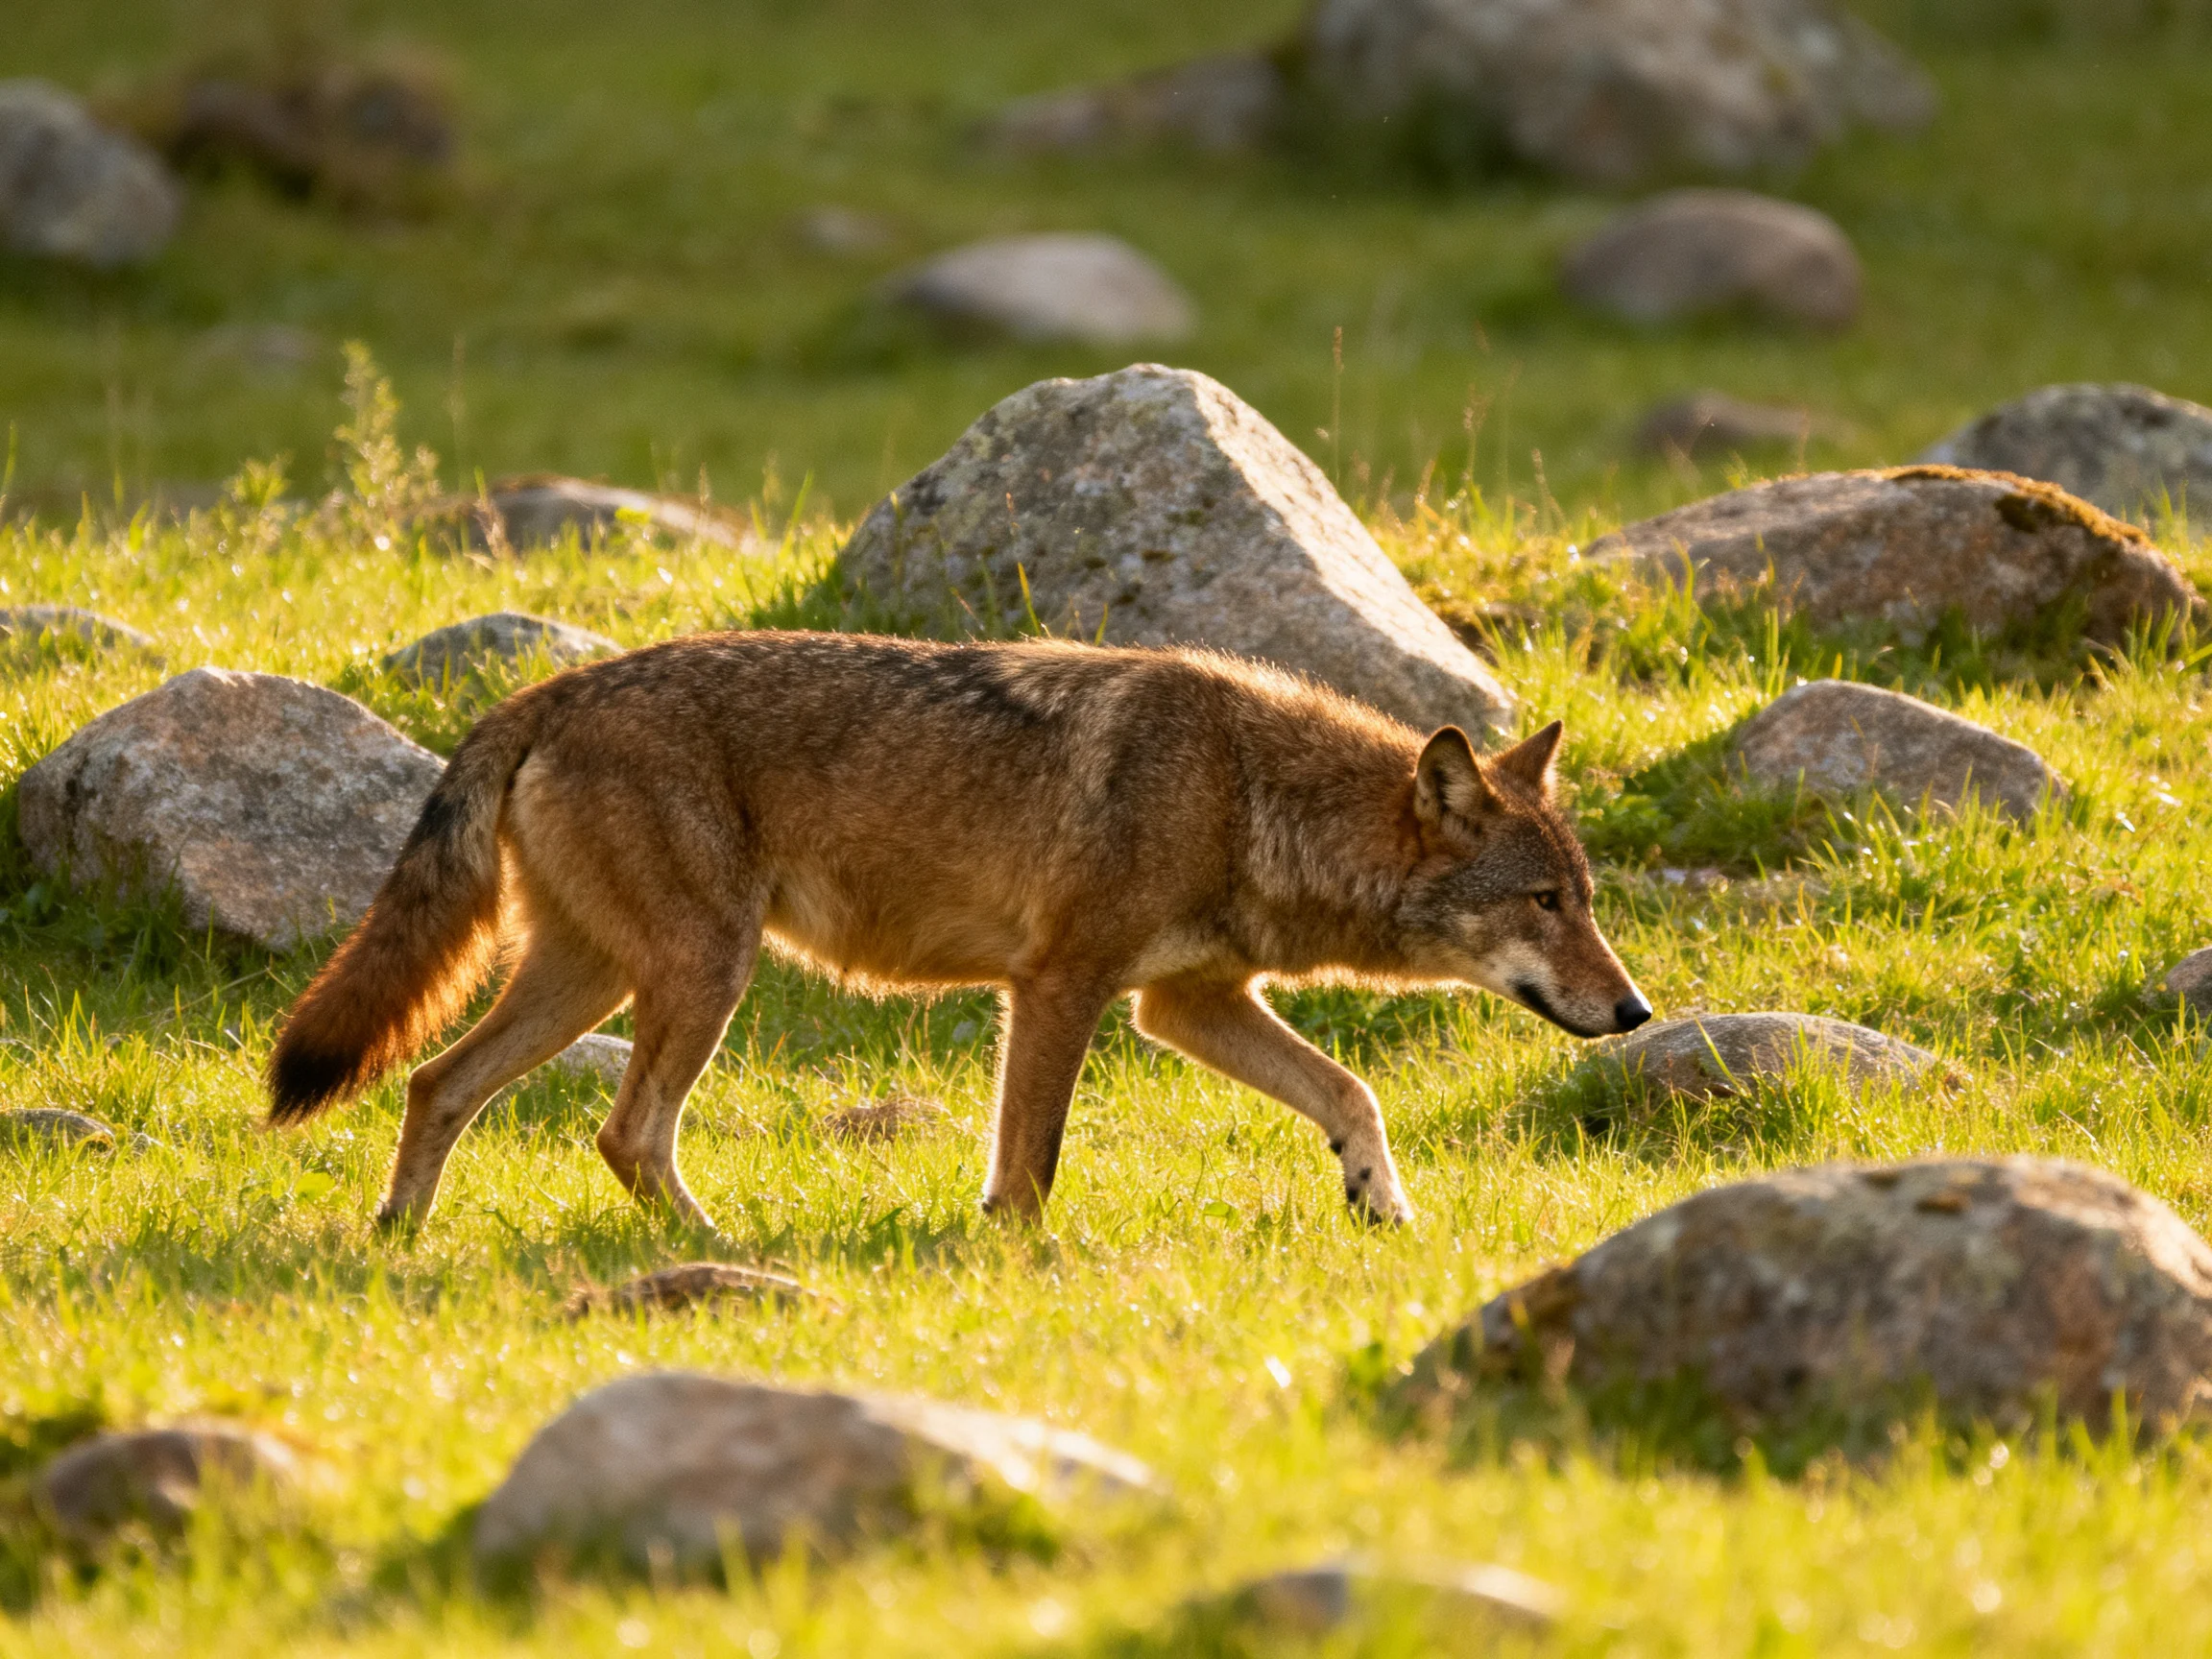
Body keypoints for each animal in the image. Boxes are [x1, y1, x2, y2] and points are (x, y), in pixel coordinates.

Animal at [267, 631, 1649, 1232]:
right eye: (1548, 904)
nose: (1636, 1012)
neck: (1246, 791)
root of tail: (551, 690)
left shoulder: (1183, 1003)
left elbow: (1353, 1091)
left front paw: (1381, 1204)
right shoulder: (1060, 986)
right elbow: (1029, 1166)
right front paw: (1019, 1263)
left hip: (595, 982)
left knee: (440, 1086)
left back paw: (398, 1241)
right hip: (702, 977)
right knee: (625, 1133)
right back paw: (726, 1254)